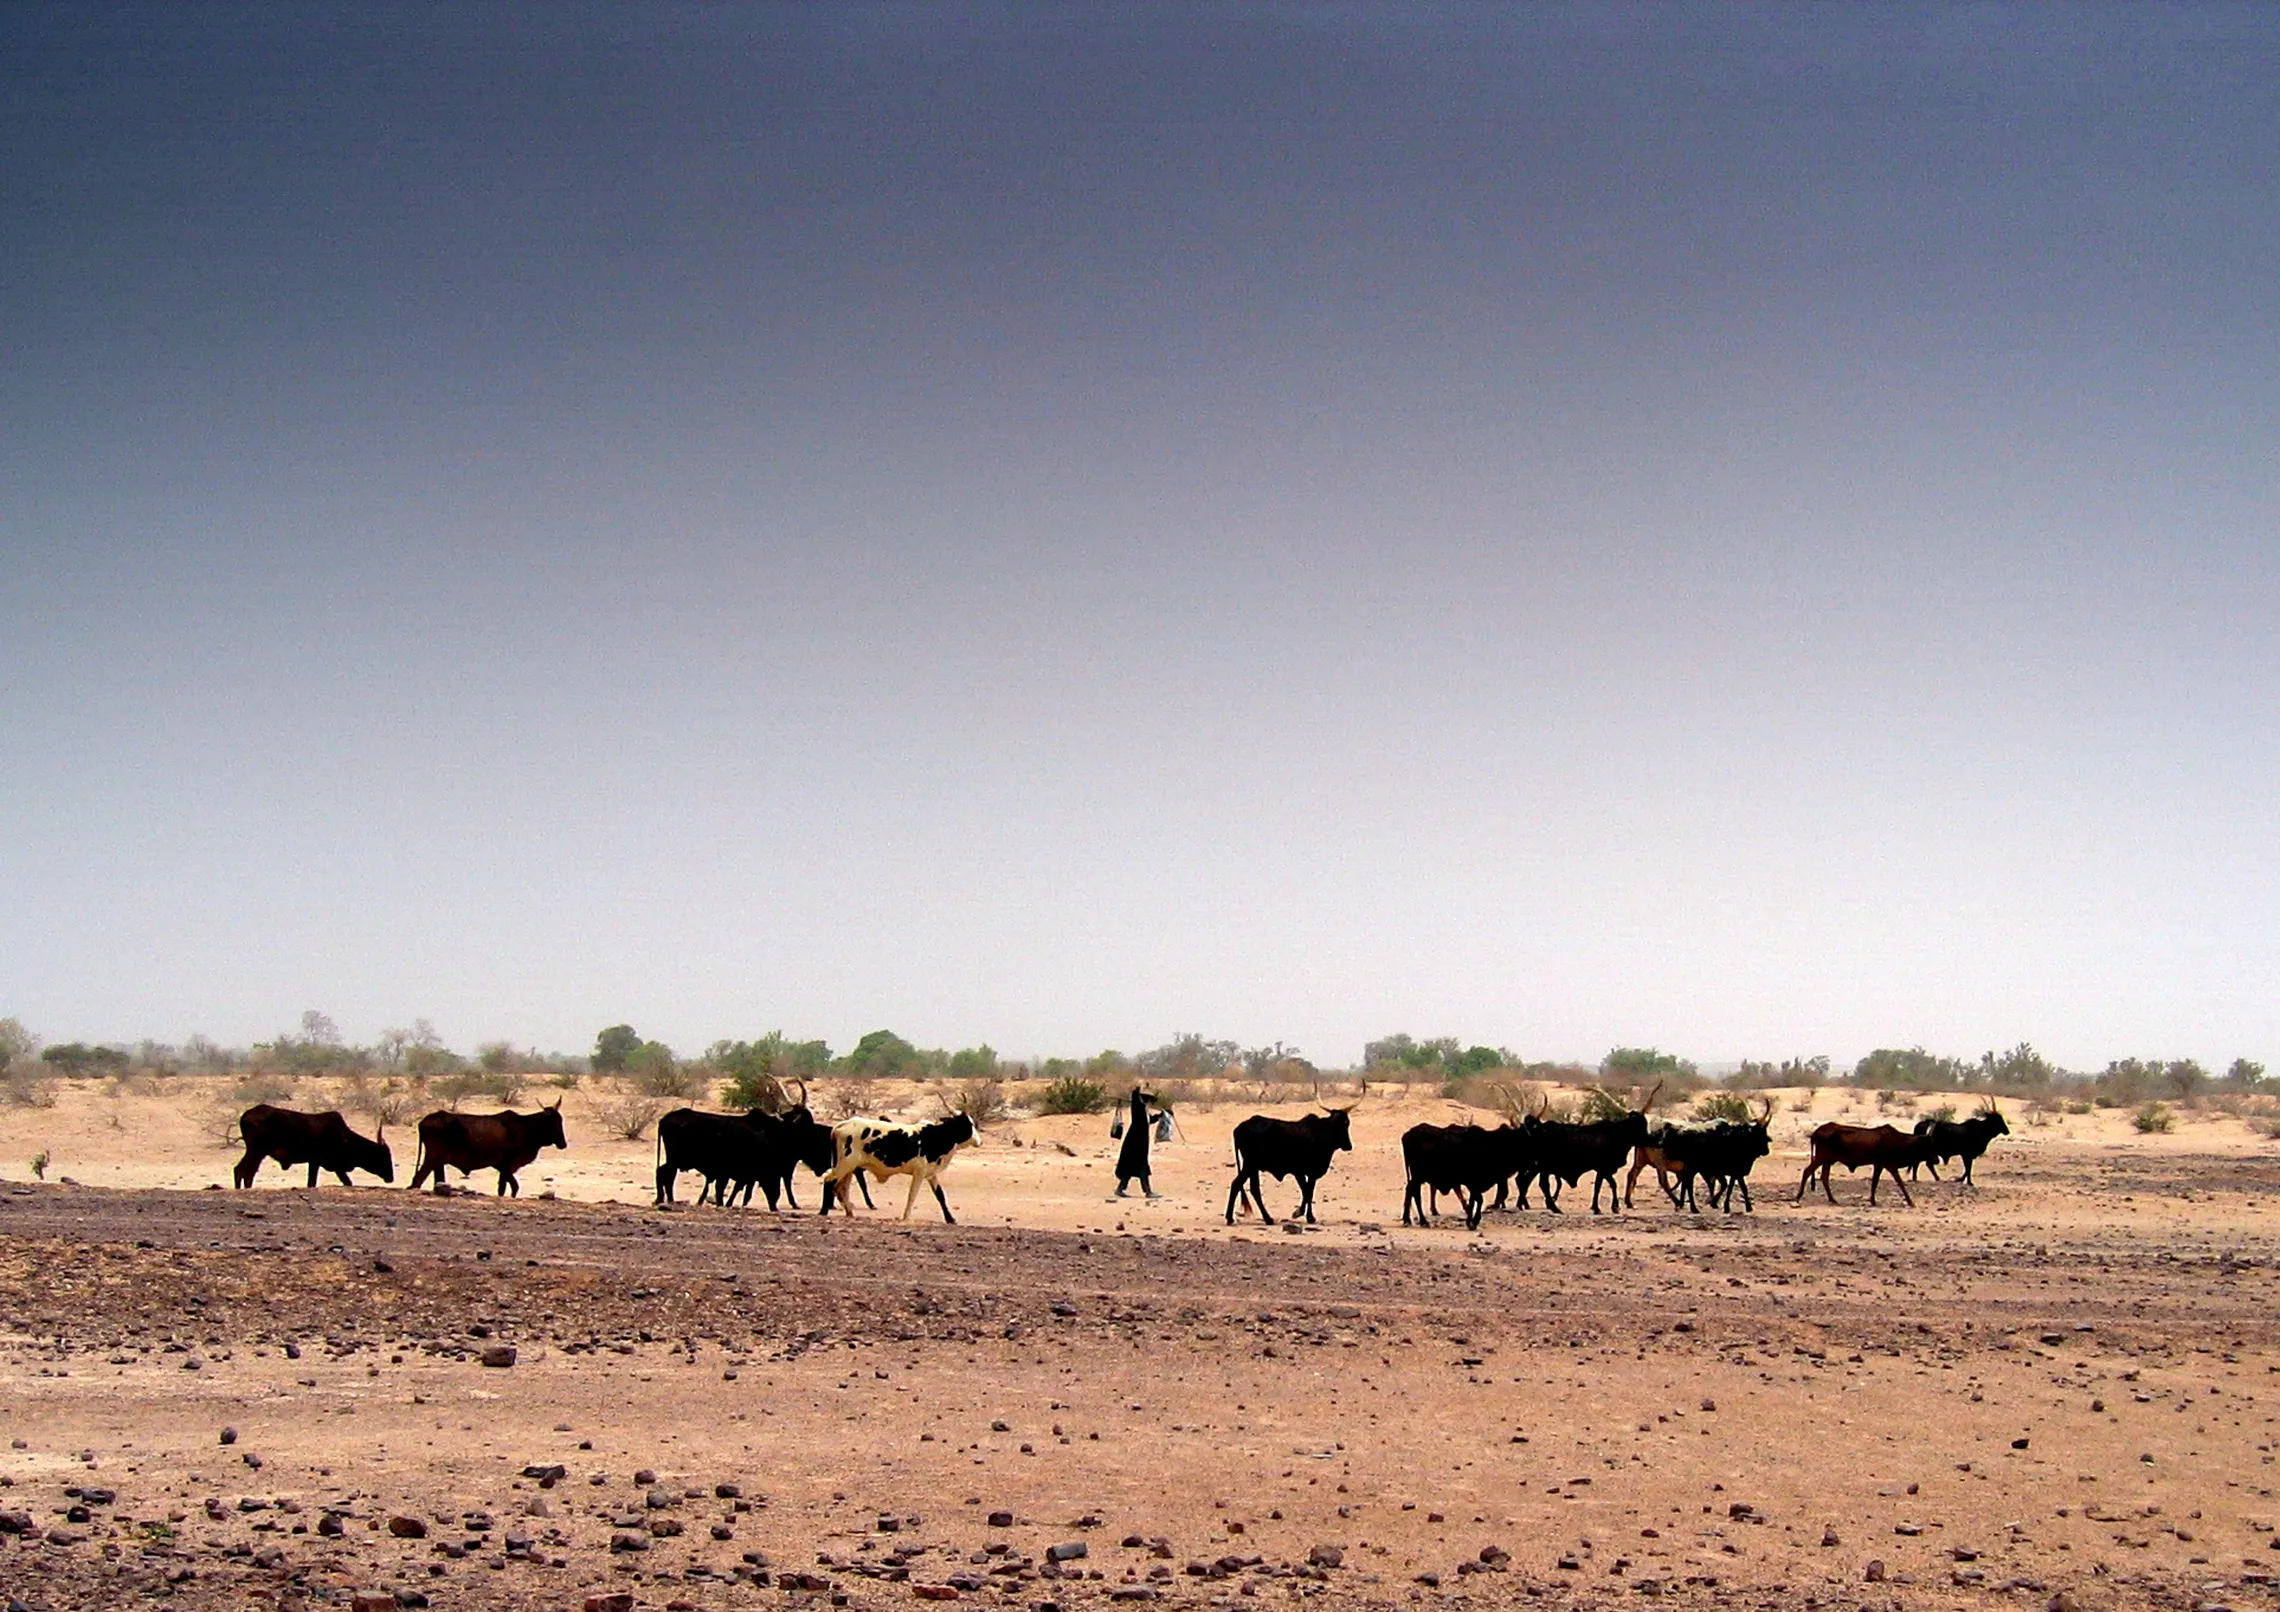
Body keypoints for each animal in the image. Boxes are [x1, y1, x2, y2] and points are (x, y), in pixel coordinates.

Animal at [403, 1103, 563, 1194]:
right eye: (553, 1122)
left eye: (560, 1120)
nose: (563, 1143)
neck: (525, 1128)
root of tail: (423, 1122)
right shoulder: (506, 1166)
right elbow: (513, 1187)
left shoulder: (503, 1169)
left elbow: (503, 1189)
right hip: (432, 1157)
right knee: (417, 1180)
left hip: (438, 1162)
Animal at [820, 1117, 980, 1231]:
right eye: (969, 1125)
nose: (979, 1141)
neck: (936, 1136)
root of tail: (841, 1125)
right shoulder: (919, 1173)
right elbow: (912, 1195)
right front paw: (906, 1217)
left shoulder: (930, 1174)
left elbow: (940, 1195)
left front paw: (950, 1219)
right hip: (845, 1165)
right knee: (829, 1180)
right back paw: (823, 1211)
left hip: (849, 1169)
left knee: (841, 1188)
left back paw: (849, 1212)